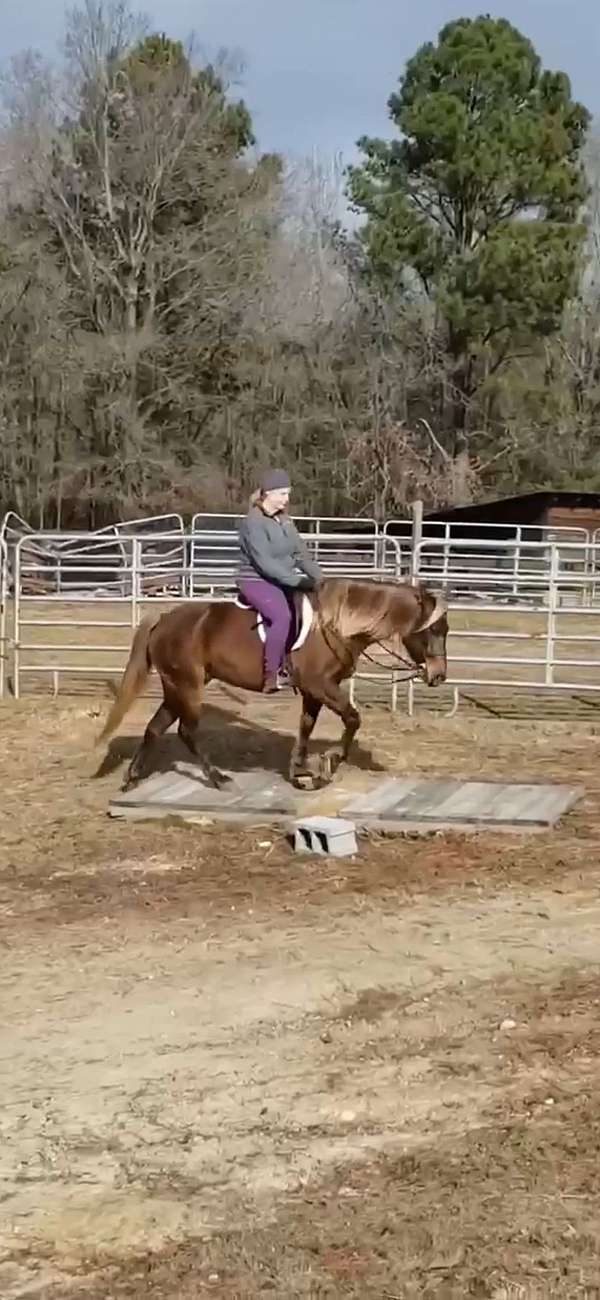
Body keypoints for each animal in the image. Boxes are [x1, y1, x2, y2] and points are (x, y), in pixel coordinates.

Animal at [97, 579, 444, 790]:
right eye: (432, 630)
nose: (439, 676)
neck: (335, 625)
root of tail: (164, 618)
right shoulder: (321, 686)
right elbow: (353, 718)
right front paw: (329, 764)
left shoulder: (314, 691)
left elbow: (306, 727)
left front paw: (301, 771)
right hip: (188, 687)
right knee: (186, 731)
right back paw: (219, 778)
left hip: (176, 687)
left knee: (155, 728)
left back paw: (132, 778)